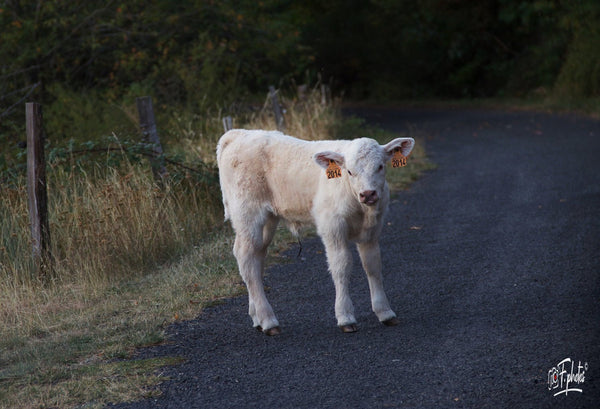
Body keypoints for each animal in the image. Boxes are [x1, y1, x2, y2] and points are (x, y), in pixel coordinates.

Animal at [217, 129, 418, 334]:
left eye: (380, 166)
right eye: (349, 171)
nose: (368, 194)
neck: (360, 207)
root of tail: (238, 134)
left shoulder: (372, 230)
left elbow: (373, 266)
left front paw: (384, 312)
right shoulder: (332, 227)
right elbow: (341, 266)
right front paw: (345, 316)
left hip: (267, 221)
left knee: (256, 258)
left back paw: (257, 317)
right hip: (247, 214)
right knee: (246, 258)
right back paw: (268, 320)